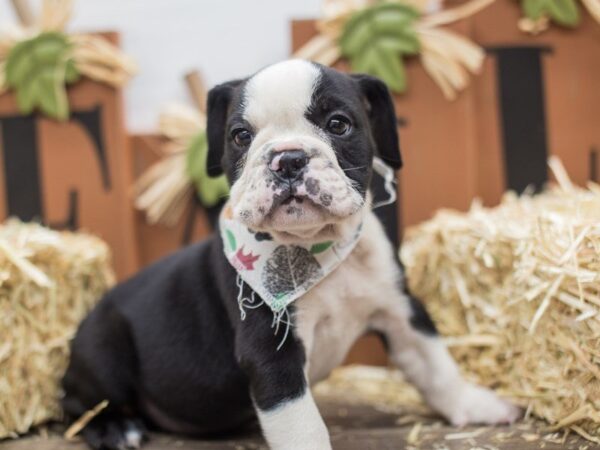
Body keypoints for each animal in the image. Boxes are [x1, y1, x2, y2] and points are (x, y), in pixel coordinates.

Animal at [62, 60, 520, 450]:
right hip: (103, 349)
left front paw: (474, 404)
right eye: (240, 136)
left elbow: (435, 365)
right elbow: (303, 425)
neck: (315, 246)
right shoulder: (271, 349)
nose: (288, 158)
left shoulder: (401, 311)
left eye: (338, 124)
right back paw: (114, 428)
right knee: (75, 401)